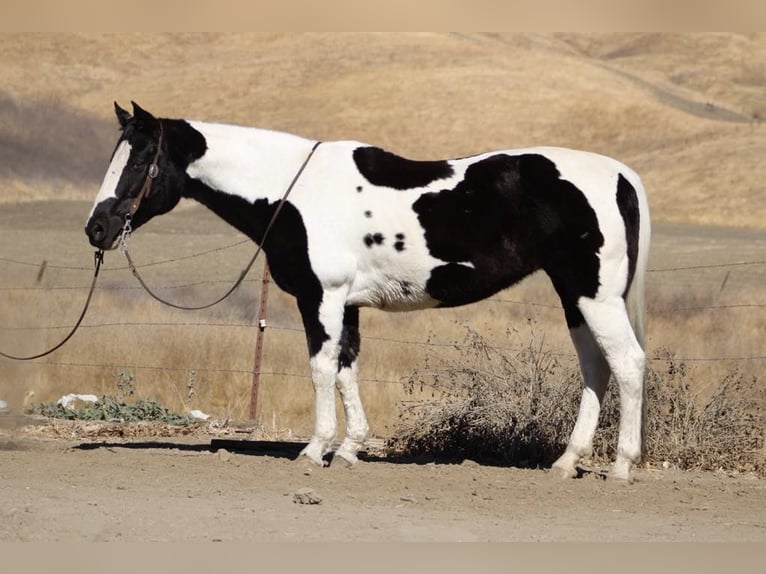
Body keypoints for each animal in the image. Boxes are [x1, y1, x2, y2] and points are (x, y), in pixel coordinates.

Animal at [86, 102, 650, 481]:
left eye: (138, 160)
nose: (96, 229)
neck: (292, 190)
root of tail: (621, 174)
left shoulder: (321, 297)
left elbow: (321, 368)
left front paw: (315, 450)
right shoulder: (347, 304)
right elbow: (346, 369)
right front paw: (350, 449)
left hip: (595, 296)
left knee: (627, 364)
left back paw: (621, 466)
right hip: (574, 297)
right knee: (596, 368)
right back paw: (567, 461)